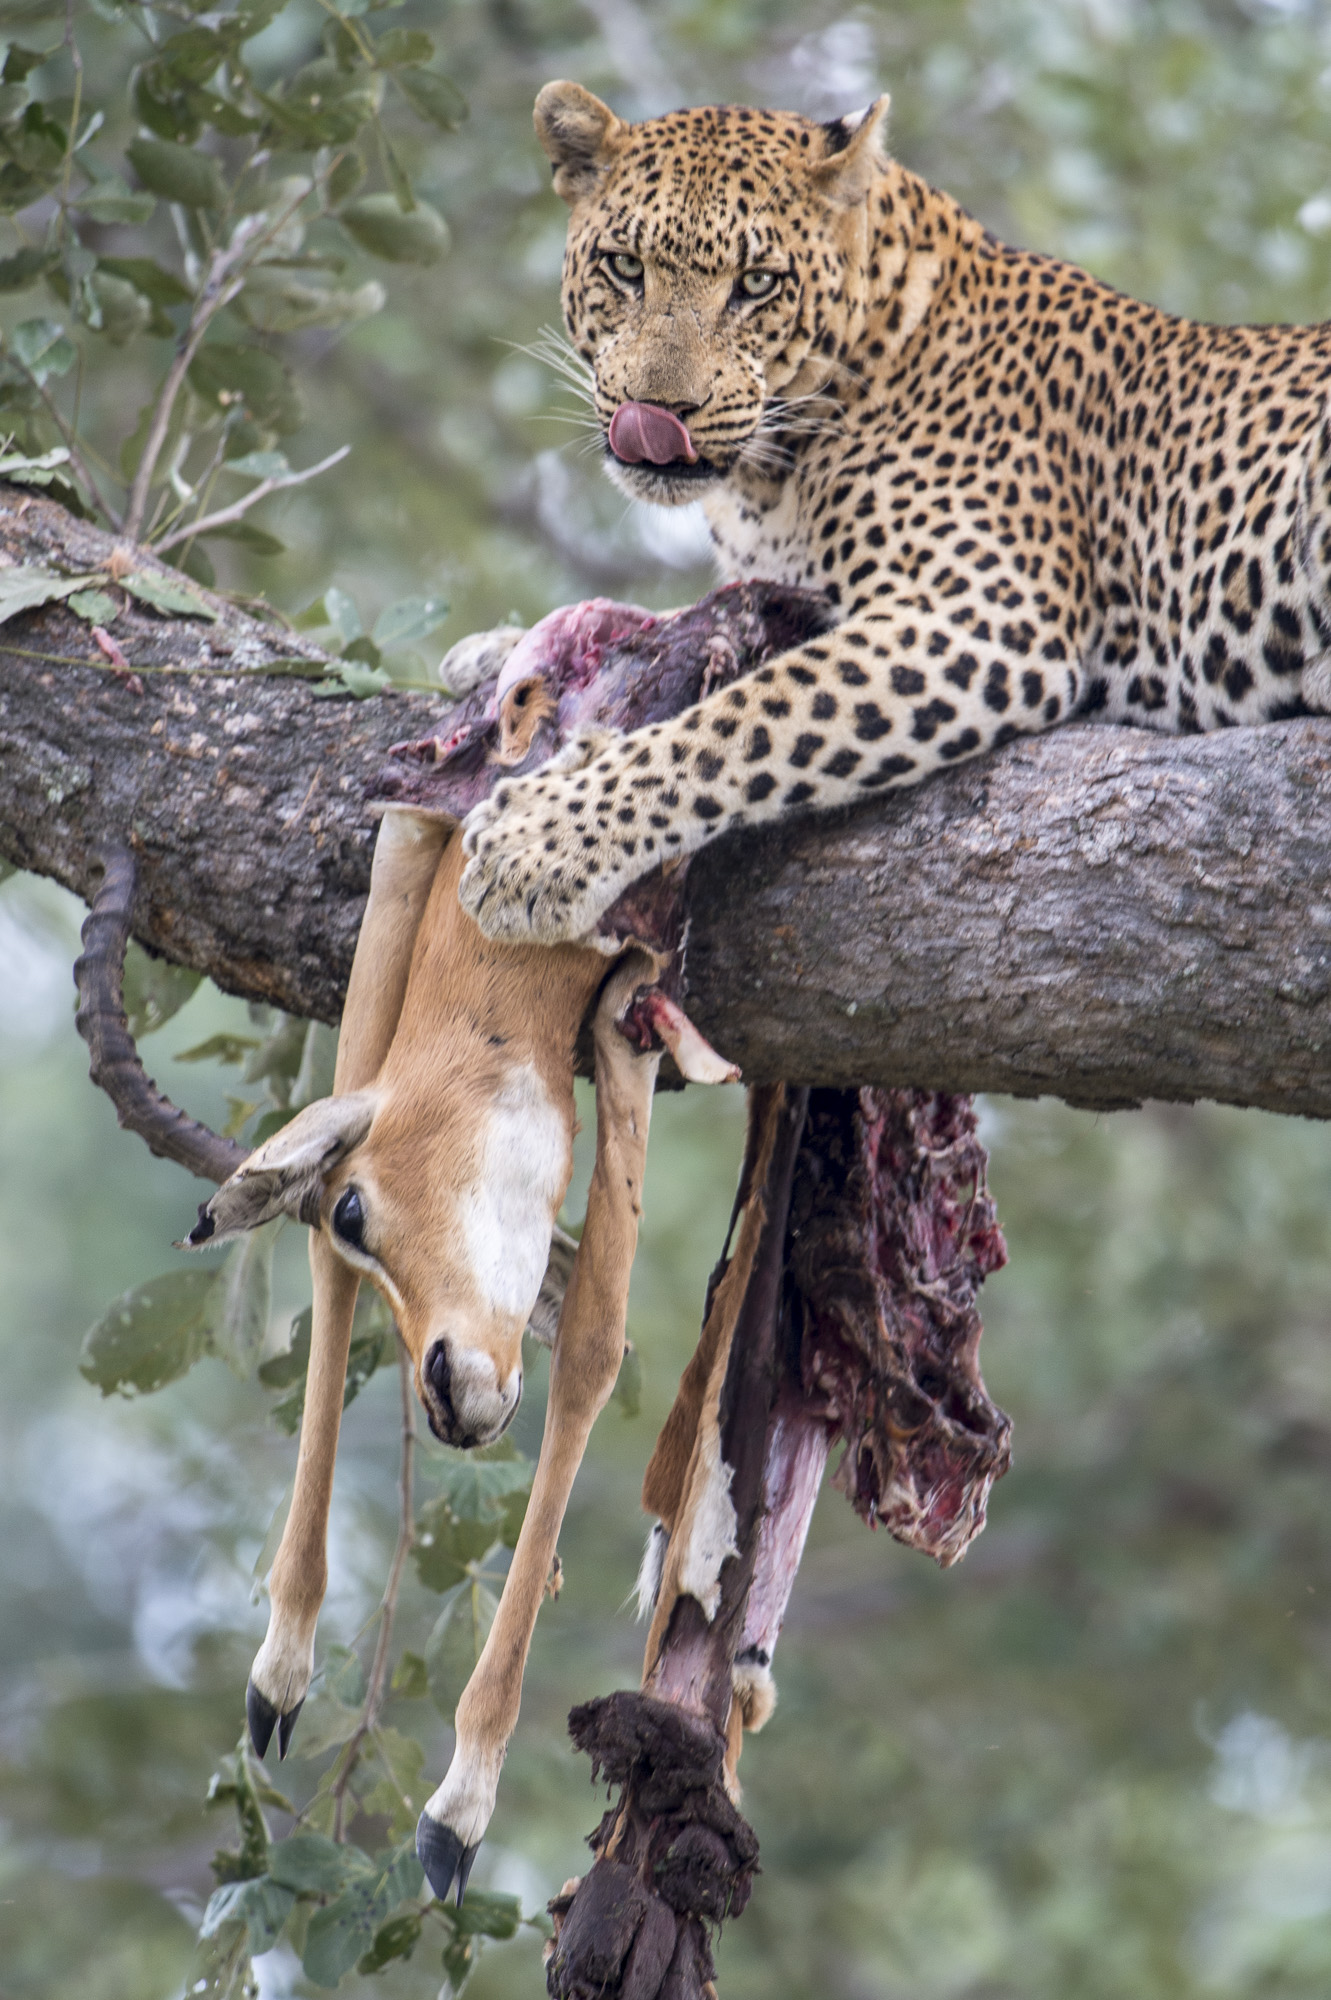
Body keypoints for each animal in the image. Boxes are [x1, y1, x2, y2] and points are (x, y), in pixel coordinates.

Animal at [458, 79, 1331, 945]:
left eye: (756, 283)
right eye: (624, 267)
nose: (659, 411)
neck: (769, 475)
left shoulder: (984, 613)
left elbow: (743, 720)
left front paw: (539, 842)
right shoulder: (791, 592)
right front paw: (499, 649)